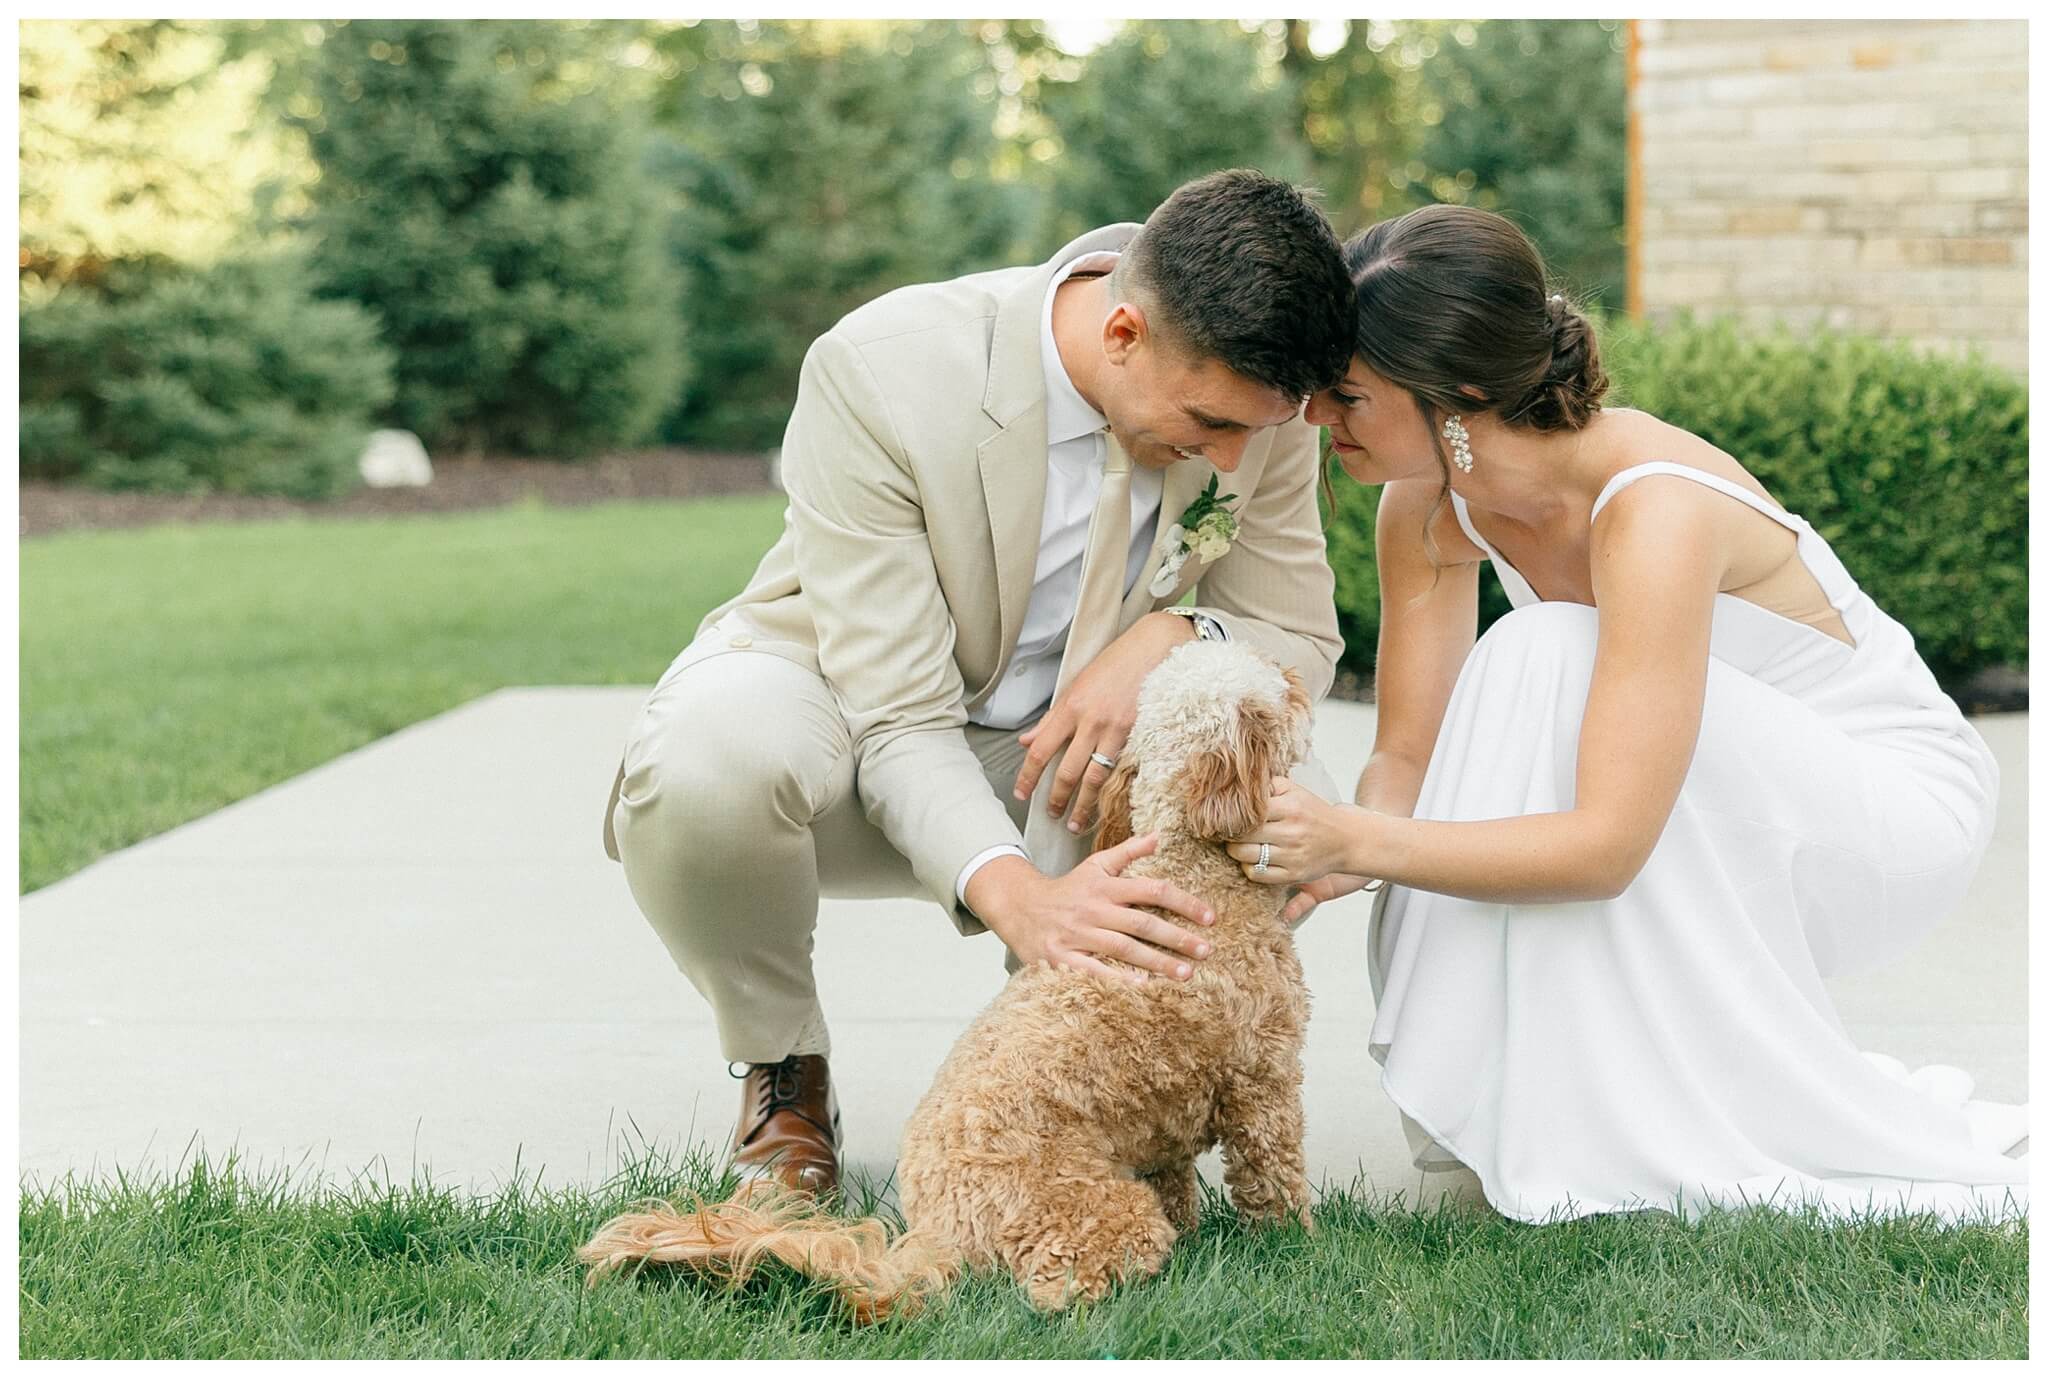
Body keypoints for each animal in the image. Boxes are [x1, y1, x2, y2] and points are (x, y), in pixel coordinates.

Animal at [577, 639, 1310, 1319]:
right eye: (1267, 684)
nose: (1300, 672)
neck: (1186, 864)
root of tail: (937, 1233)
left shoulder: (1165, 1128)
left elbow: (1178, 1179)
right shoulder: (1262, 1080)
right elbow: (1274, 1175)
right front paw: (1295, 1242)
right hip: (1097, 1209)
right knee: (1058, 1290)